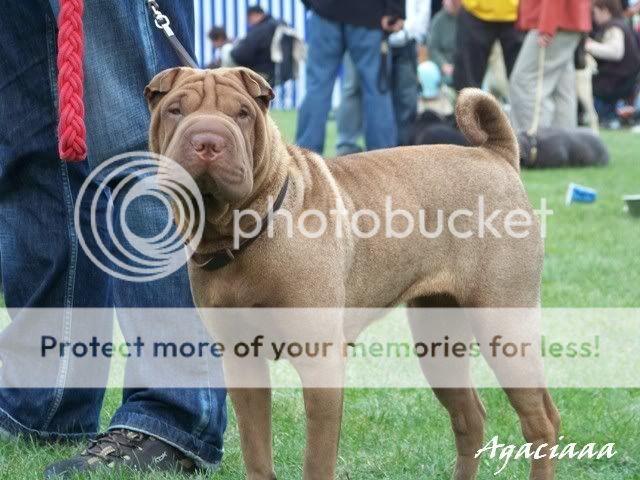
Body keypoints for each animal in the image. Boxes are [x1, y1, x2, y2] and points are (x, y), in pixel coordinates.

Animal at [144, 67, 560, 480]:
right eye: (175, 110)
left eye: (242, 113)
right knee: (470, 416)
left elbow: (317, 459)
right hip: (438, 338)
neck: (242, 232)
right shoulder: (242, 359)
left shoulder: (320, 360)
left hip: (503, 325)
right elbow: (257, 452)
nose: (207, 141)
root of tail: (496, 155)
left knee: (539, 422)